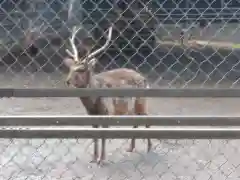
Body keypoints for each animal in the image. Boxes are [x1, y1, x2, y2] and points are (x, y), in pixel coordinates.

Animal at [62, 25, 151, 165]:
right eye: (70, 69)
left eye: (82, 70)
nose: (67, 81)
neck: (92, 103)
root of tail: (144, 78)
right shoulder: (91, 115)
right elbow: (95, 136)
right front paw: (94, 158)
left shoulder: (107, 111)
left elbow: (103, 136)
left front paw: (102, 160)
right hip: (130, 107)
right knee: (136, 120)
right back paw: (131, 148)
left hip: (141, 101)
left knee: (146, 117)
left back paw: (149, 147)